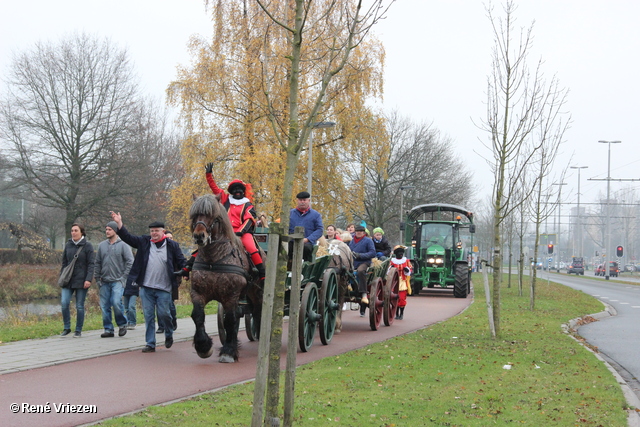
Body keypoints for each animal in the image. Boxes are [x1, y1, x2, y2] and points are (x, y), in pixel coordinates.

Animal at [189, 194, 264, 364]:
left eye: (213, 215)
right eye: (195, 214)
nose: (199, 236)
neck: (213, 259)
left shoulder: (231, 295)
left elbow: (230, 320)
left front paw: (228, 351)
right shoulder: (197, 292)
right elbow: (198, 315)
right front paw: (203, 346)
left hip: (259, 293)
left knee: (260, 312)